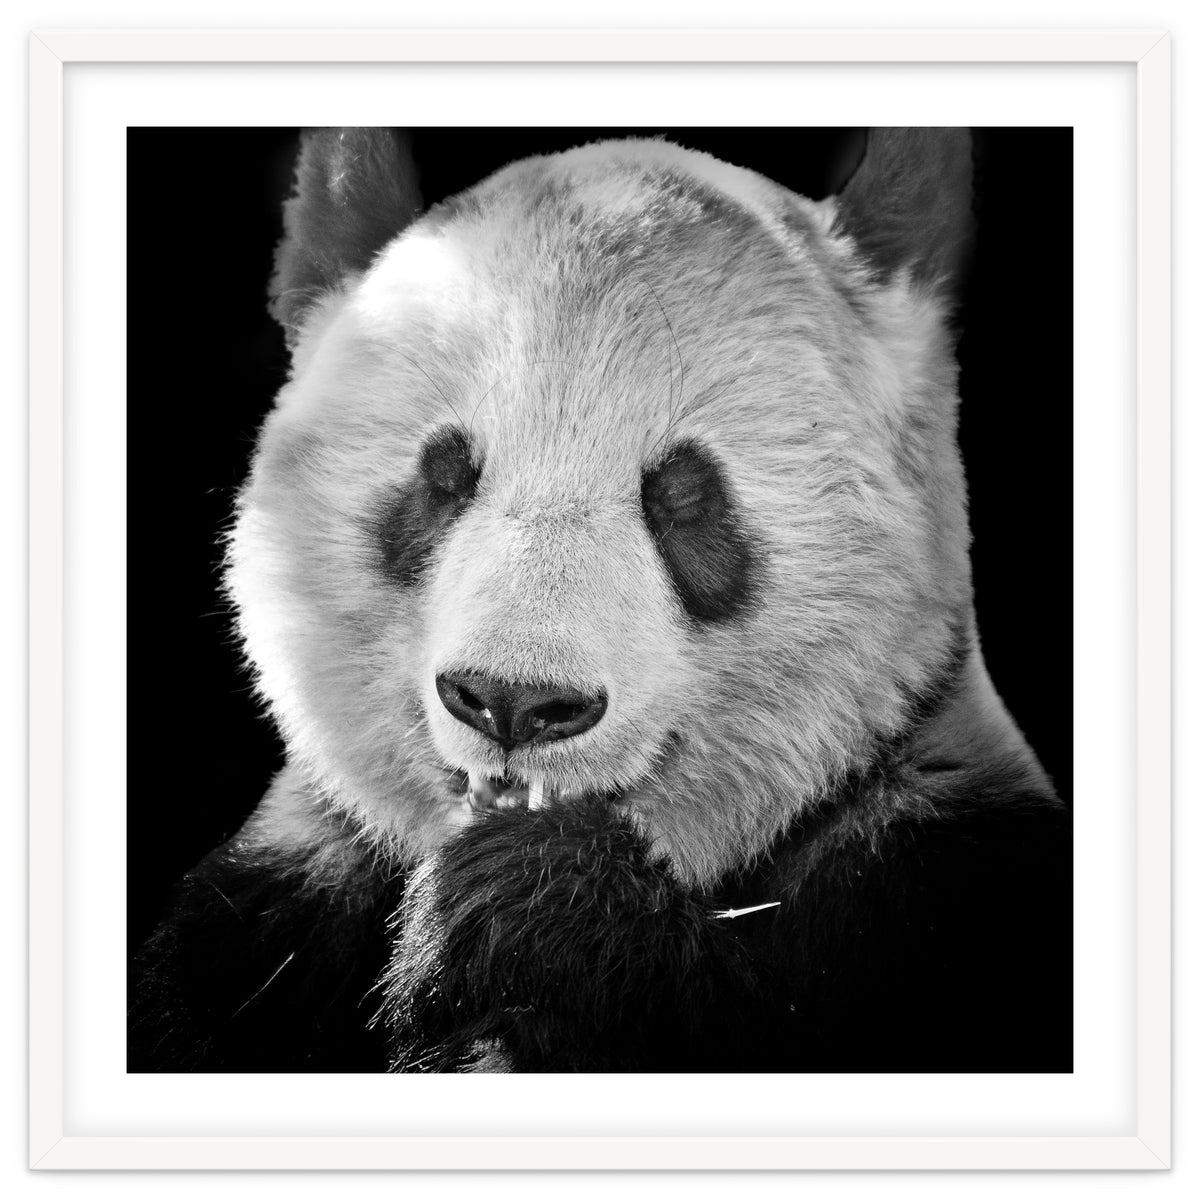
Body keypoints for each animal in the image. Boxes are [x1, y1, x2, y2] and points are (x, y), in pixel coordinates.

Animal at [129, 127, 1072, 1074]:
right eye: (444, 476)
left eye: (683, 496)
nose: (514, 701)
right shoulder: (267, 917)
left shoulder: (936, 879)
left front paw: (533, 907)